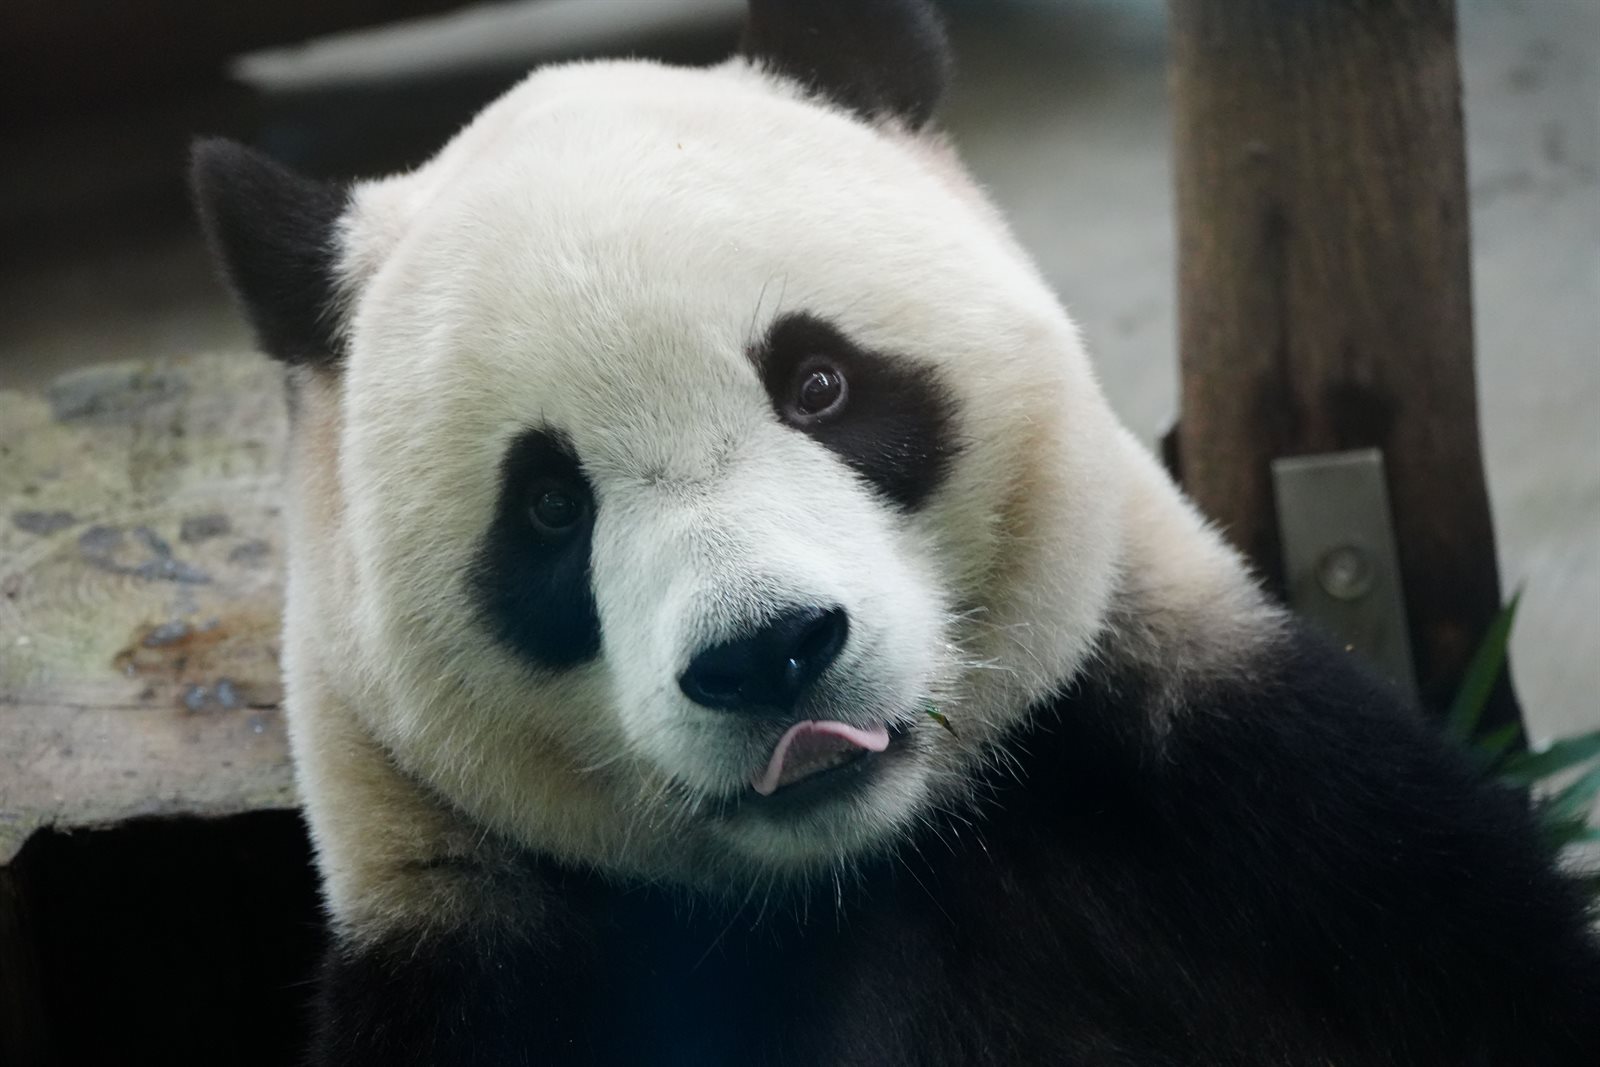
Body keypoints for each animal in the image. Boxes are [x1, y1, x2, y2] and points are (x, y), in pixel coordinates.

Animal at [190, 1, 1600, 1063]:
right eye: (548, 504)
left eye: (818, 382)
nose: (767, 652)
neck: (868, 862)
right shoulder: (484, 951)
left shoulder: (1264, 825)